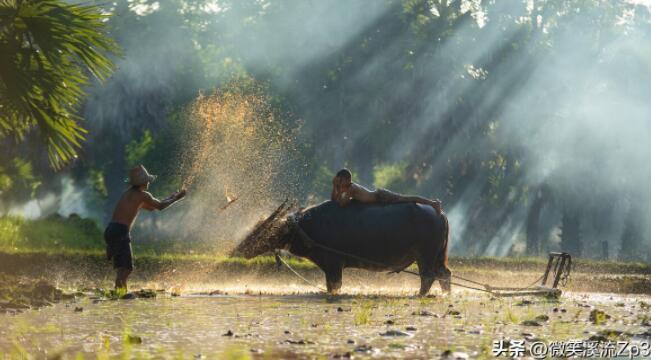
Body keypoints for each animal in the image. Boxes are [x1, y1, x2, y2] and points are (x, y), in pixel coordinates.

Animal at [232, 200, 450, 296]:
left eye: (262, 229)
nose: (239, 249)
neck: (305, 228)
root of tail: (440, 214)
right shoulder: (329, 268)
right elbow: (330, 286)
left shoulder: (334, 265)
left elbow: (335, 285)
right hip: (437, 256)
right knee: (444, 274)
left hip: (425, 256)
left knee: (428, 277)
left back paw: (420, 294)